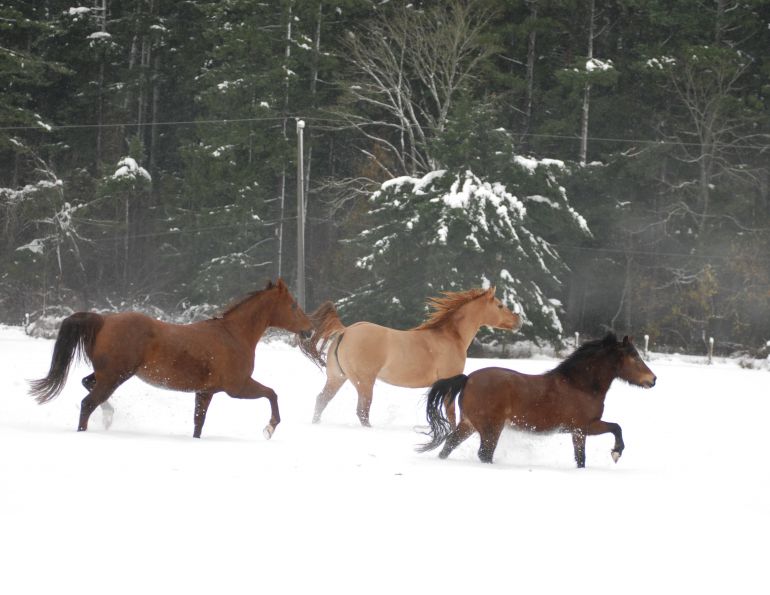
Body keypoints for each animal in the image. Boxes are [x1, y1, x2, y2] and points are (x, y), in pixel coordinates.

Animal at [29, 279, 312, 439]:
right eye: (293, 305)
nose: (309, 330)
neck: (232, 334)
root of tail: (104, 320)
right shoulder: (238, 387)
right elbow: (272, 393)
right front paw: (270, 428)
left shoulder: (205, 392)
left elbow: (199, 423)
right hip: (114, 376)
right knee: (87, 403)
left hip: (108, 374)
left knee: (88, 386)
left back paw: (109, 416)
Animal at [300, 286, 522, 427]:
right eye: (500, 305)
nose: (518, 321)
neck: (450, 337)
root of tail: (345, 331)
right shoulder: (450, 381)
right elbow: (451, 413)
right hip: (364, 382)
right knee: (362, 411)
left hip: (337, 378)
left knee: (322, 400)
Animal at [418, 333, 656, 468]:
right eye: (634, 357)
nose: (653, 380)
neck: (580, 385)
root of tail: (468, 379)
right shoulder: (584, 427)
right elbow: (613, 430)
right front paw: (616, 453)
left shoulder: (579, 430)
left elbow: (584, 456)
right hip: (491, 428)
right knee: (484, 454)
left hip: (468, 425)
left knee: (448, 446)